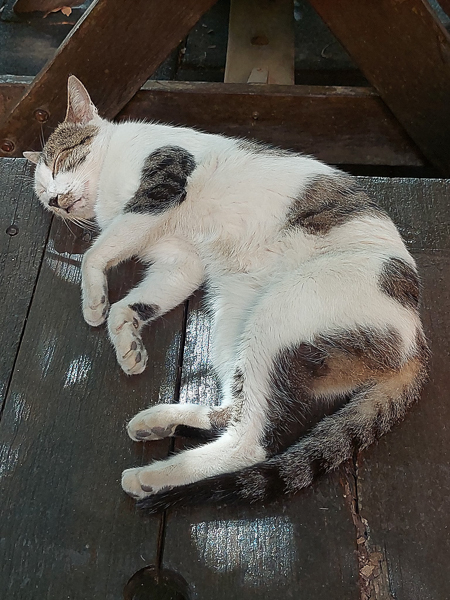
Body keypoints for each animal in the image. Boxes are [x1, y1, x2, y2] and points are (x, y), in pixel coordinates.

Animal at [24, 77, 428, 512]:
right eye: (43, 194)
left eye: (61, 162)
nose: (55, 200)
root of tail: (415, 342)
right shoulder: (180, 261)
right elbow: (130, 303)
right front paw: (128, 345)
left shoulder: (163, 181)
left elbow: (94, 254)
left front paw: (93, 302)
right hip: (232, 324)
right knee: (236, 409)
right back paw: (157, 424)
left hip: (280, 314)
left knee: (250, 443)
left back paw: (151, 477)